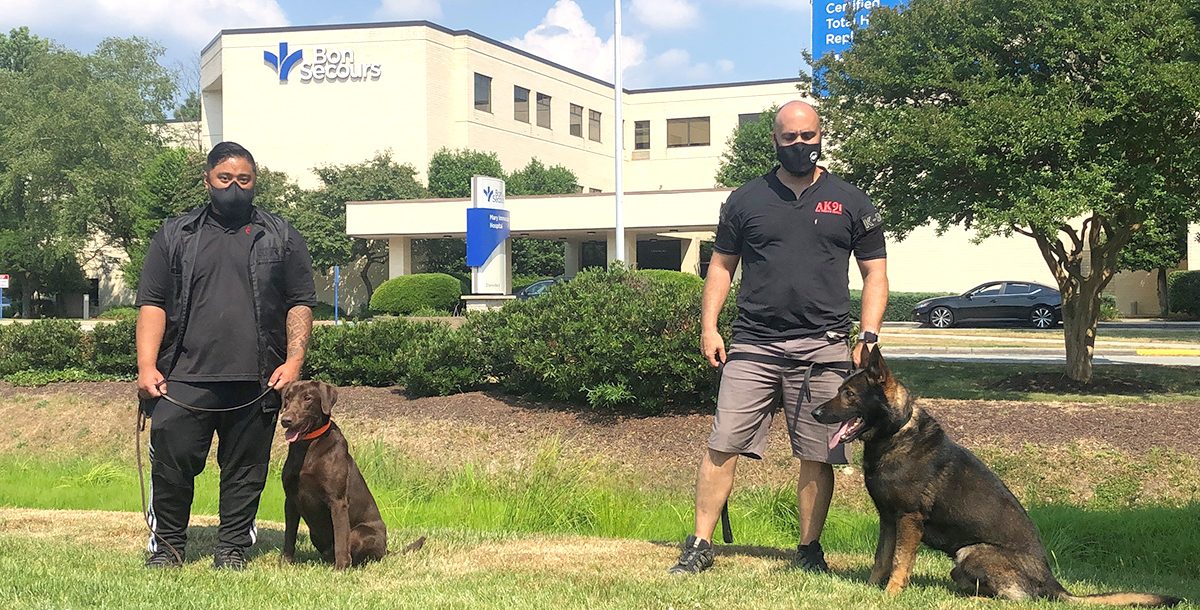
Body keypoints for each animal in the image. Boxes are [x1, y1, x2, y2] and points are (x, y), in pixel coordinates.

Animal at [811, 348, 1176, 605]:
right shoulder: (889, 520)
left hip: (971, 552)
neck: (896, 432)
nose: (814, 412)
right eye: (840, 390)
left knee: (1018, 598)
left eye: (849, 394)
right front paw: (870, 590)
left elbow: (900, 562)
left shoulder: (909, 520)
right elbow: (881, 559)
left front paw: (890, 596)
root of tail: (1053, 582)